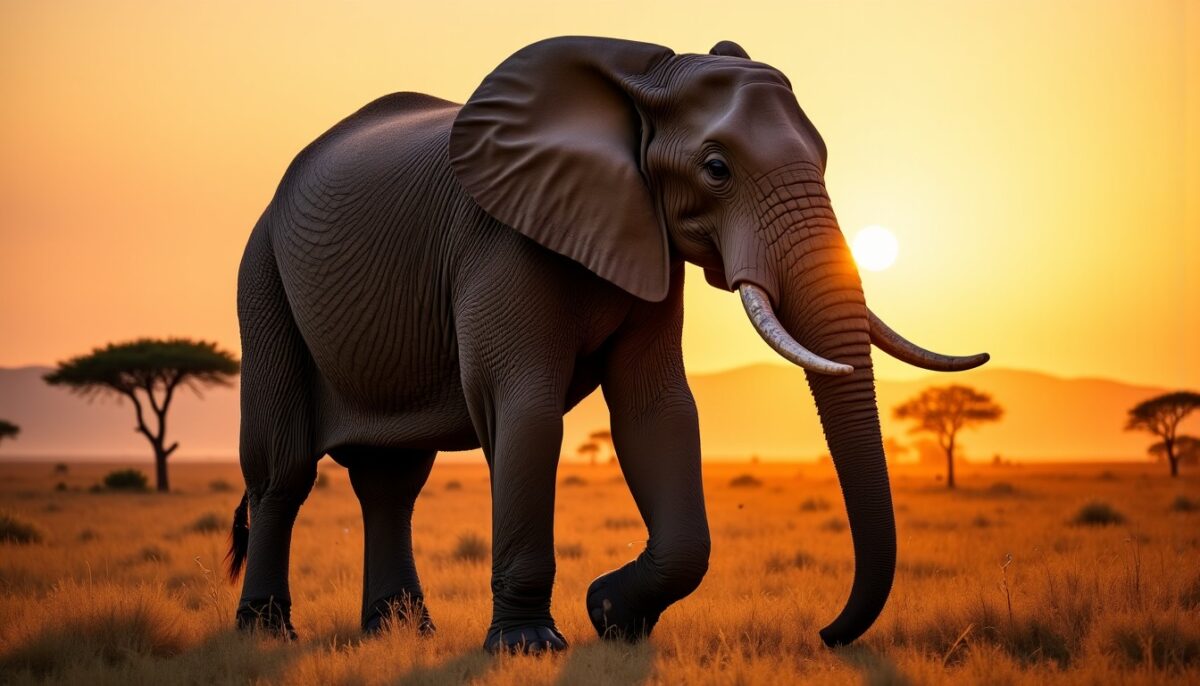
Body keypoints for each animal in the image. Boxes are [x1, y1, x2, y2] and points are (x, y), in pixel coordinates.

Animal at [227, 35, 988, 653]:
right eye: (716, 168)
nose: (826, 634)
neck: (643, 79)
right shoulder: (498, 238)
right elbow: (526, 411)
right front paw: (530, 648)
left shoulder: (649, 238)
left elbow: (658, 412)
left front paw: (610, 615)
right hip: (261, 276)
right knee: (284, 470)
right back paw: (267, 632)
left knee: (392, 480)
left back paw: (402, 634)